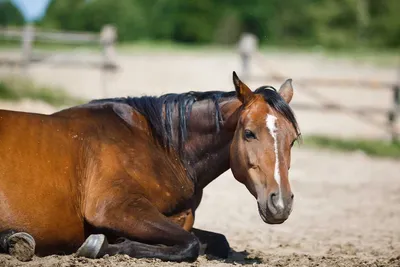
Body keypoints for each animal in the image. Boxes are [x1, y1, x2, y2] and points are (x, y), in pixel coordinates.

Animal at [0, 72, 300, 262]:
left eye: (293, 140)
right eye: (249, 133)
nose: (280, 204)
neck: (159, 147)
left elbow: (216, 240)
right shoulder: (115, 208)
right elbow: (189, 244)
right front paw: (102, 245)